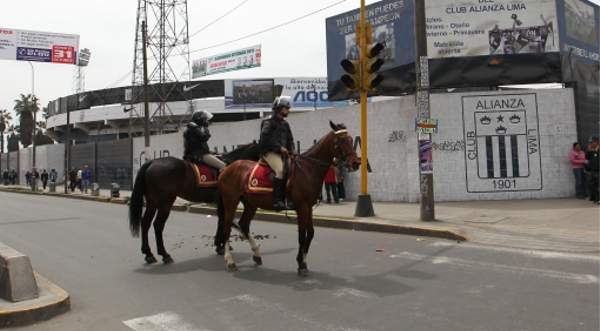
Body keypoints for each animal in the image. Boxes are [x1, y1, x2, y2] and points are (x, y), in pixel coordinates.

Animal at [129, 143, 260, 264]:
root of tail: (151, 162)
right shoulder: (224, 201)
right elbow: (222, 221)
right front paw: (221, 245)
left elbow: (220, 221)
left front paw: (219, 245)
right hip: (166, 202)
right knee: (158, 224)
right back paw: (164, 254)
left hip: (152, 202)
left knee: (145, 223)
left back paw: (148, 254)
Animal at [217, 121, 360, 274]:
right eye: (342, 140)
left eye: (351, 139)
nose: (356, 163)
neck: (308, 169)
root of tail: (226, 168)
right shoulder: (302, 208)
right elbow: (302, 236)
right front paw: (301, 264)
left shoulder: (308, 208)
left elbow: (310, 233)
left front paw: (303, 260)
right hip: (230, 202)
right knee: (226, 228)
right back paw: (230, 261)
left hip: (250, 203)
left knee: (243, 224)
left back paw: (256, 254)